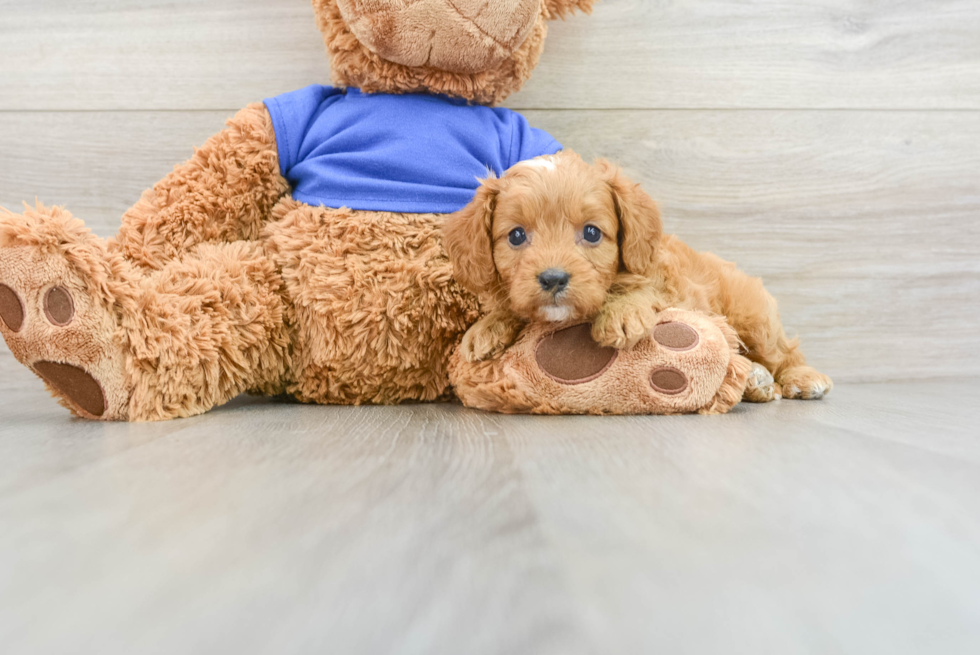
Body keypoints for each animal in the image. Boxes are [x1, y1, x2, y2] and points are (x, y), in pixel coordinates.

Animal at [444, 151, 836, 402]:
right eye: (516, 236)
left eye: (591, 233)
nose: (553, 279)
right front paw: (488, 326)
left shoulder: (669, 283)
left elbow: (645, 289)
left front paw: (621, 314)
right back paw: (757, 382)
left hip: (754, 318)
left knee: (783, 352)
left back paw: (803, 379)